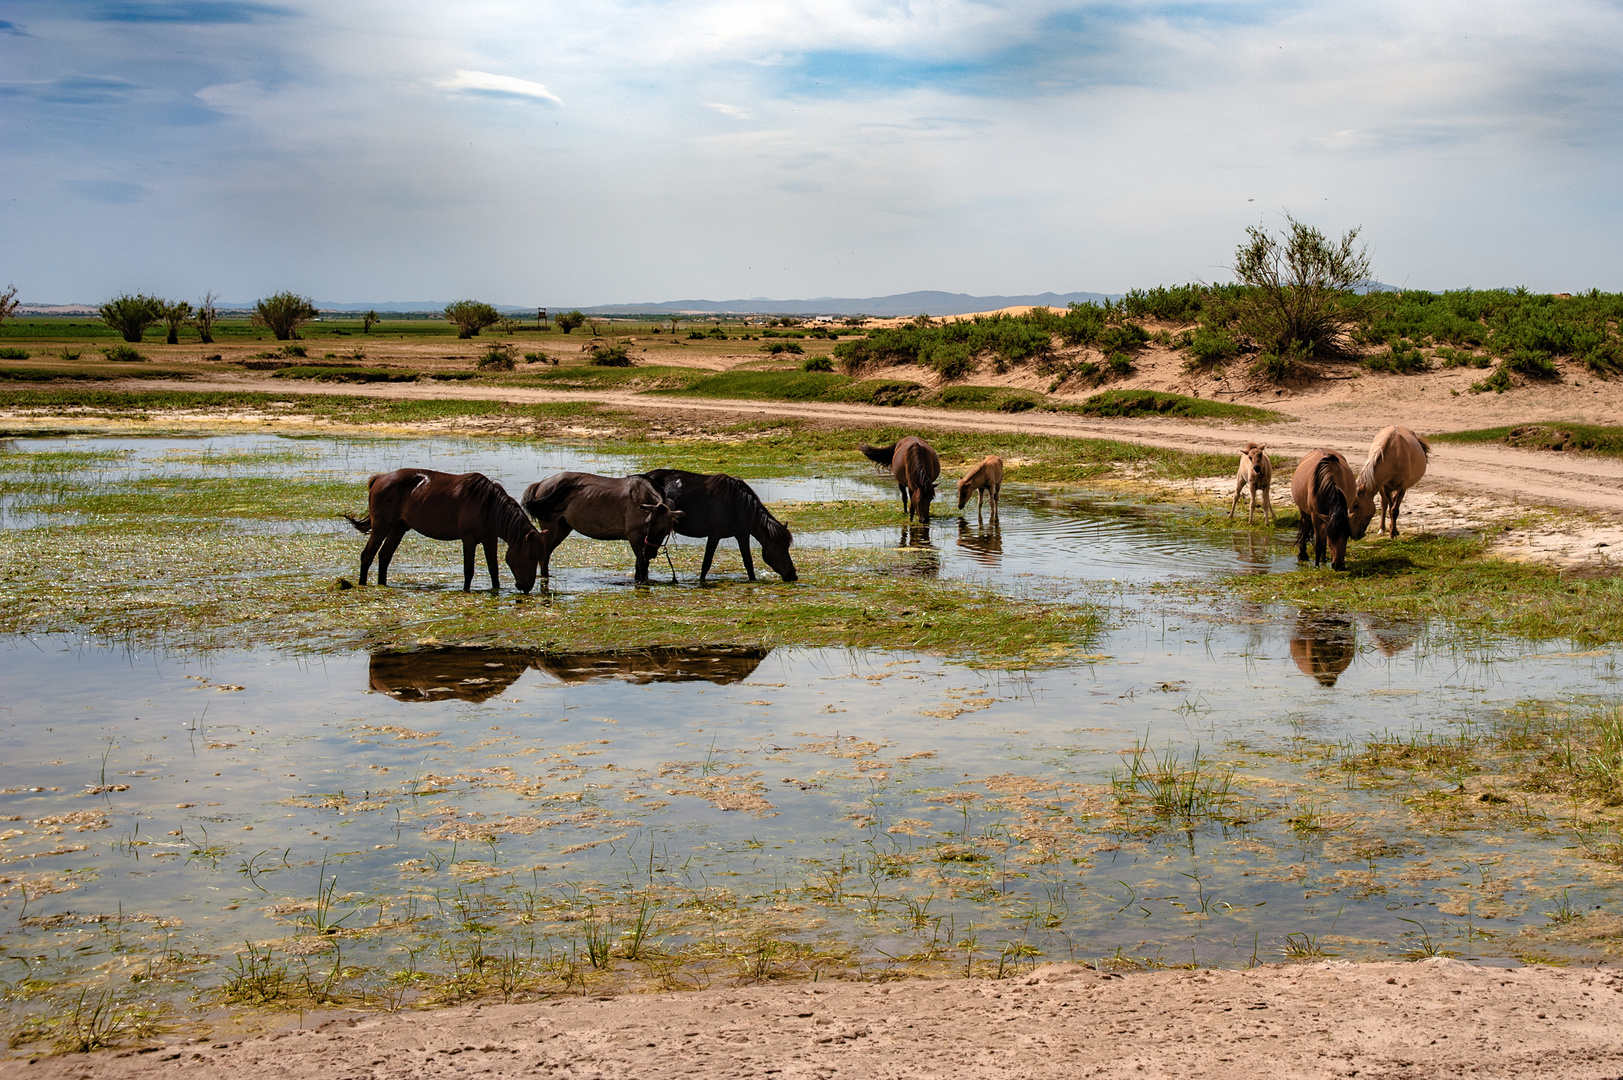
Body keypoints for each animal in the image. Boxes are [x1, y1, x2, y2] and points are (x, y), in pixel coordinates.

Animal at [342, 470, 545, 594]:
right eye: (529, 556)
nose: (527, 586)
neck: (488, 506)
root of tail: (379, 479)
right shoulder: (469, 539)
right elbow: (468, 569)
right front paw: (466, 590)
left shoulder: (490, 539)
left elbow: (493, 569)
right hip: (381, 527)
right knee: (367, 555)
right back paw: (362, 585)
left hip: (398, 528)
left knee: (384, 556)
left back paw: (382, 584)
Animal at [512, 470, 678, 581]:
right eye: (648, 523)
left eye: (665, 530)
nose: (650, 552)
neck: (642, 496)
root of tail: (541, 484)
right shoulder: (635, 537)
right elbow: (642, 566)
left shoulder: (640, 541)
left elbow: (641, 565)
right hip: (551, 528)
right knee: (544, 555)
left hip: (562, 529)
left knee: (546, 555)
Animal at [639, 464, 805, 581]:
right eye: (777, 547)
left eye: (787, 546)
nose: (792, 575)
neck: (736, 505)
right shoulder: (714, 535)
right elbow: (706, 563)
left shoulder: (742, 535)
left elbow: (748, 563)